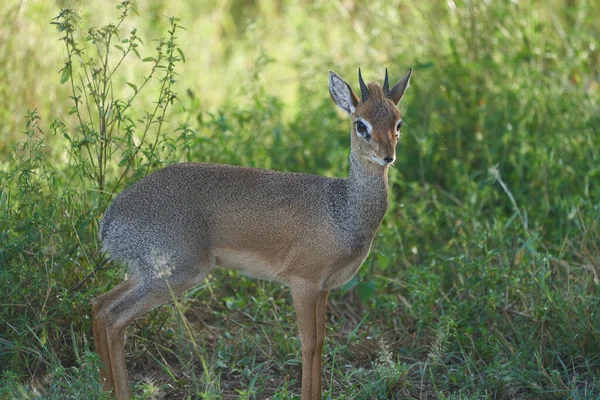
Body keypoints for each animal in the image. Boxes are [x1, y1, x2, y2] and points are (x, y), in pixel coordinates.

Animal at [92, 67, 412, 398]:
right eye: (361, 124)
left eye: (398, 122)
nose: (388, 156)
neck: (343, 210)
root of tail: (110, 221)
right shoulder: (303, 283)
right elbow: (308, 345)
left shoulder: (325, 288)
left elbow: (321, 344)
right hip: (177, 274)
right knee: (115, 318)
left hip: (145, 273)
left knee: (99, 306)